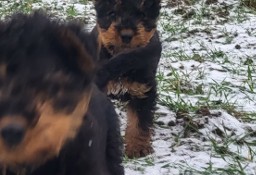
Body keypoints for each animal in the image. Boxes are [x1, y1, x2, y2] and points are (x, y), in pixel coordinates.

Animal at [92, 0, 161, 158]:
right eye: (112, 13)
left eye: (142, 15)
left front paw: (137, 147)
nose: (126, 35)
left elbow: (139, 121)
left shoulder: (143, 90)